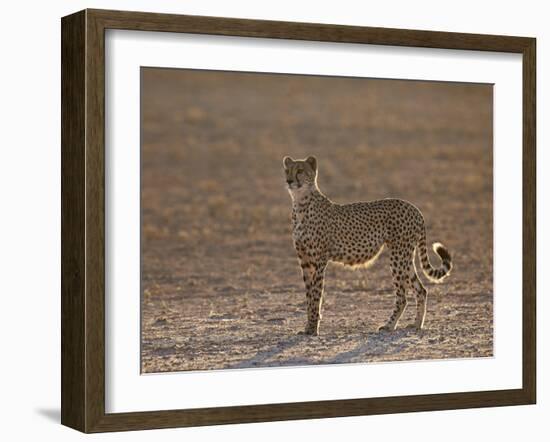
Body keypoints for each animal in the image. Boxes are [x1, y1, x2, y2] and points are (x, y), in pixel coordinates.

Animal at [284, 155, 452, 334]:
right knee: (421, 290)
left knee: (402, 297)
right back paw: (417, 325)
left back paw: (389, 325)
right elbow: (309, 296)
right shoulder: (305, 262)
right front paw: (308, 327)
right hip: (405, 257)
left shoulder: (319, 261)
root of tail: (414, 208)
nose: (289, 181)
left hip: (398, 256)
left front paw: (313, 329)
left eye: (300, 171)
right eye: (287, 170)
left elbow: (316, 296)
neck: (301, 203)